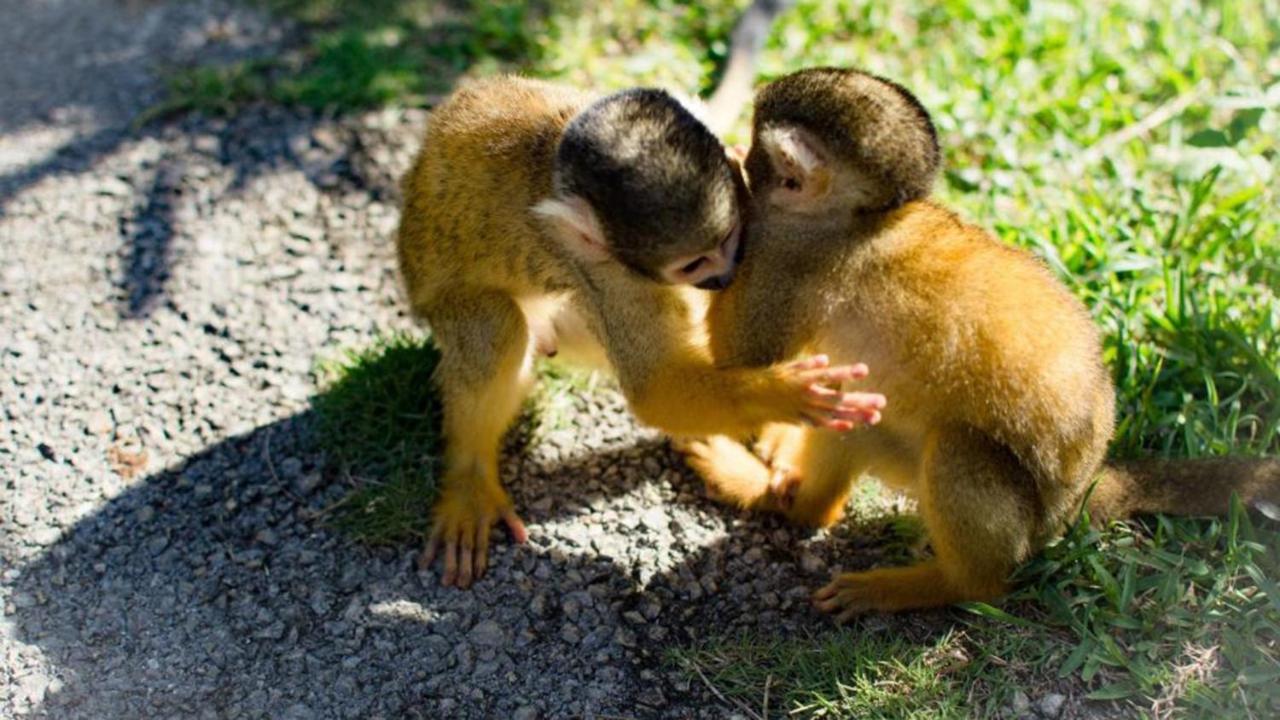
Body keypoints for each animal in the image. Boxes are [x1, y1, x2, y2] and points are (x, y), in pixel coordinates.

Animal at [394, 5, 885, 586]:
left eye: (731, 237)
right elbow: (655, 387)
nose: (724, 276)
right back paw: (469, 476)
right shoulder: (603, 267)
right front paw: (785, 395)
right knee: (496, 326)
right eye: (694, 262)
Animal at [675, 67, 1274, 617]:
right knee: (855, 415)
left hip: (1019, 522)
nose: (748, 155)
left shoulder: (787, 253)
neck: (862, 219)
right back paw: (789, 502)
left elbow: (739, 360)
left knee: (959, 451)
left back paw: (941, 585)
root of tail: (1078, 497)